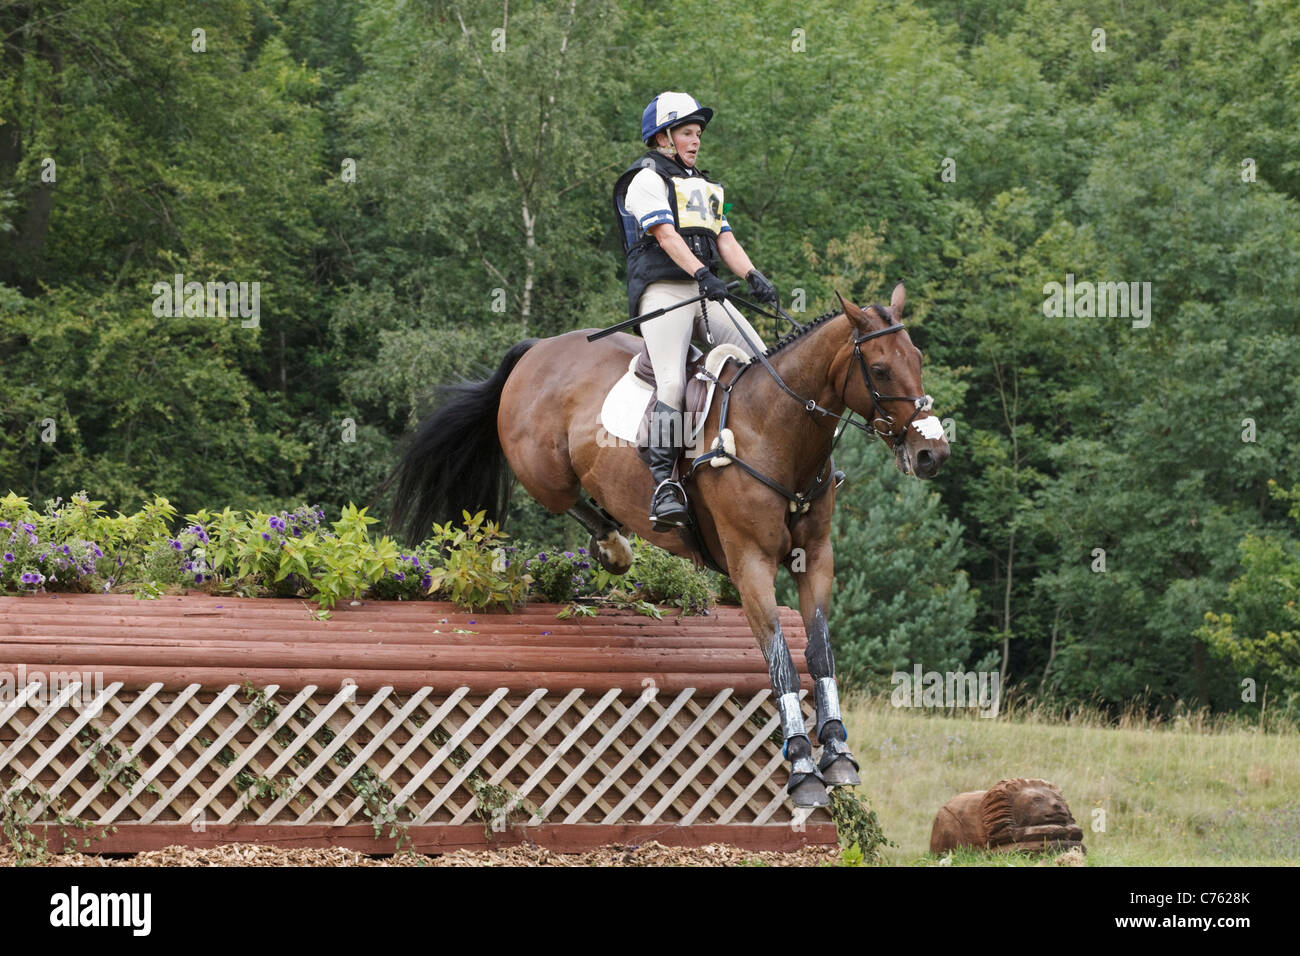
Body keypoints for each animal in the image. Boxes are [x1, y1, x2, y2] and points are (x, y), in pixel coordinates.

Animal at [384, 282, 946, 806]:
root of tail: (537, 348)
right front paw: (804, 769)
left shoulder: (817, 559)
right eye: (879, 369)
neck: (776, 431)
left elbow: (821, 650)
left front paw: (837, 751)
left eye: (917, 359)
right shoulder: (750, 564)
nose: (931, 453)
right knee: (565, 497)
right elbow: (782, 659)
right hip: (543, 471)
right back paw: (616, 547)